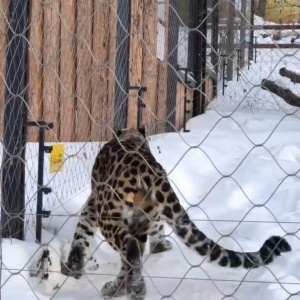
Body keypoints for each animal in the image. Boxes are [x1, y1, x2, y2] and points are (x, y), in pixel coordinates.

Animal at [62, 127, 290, 300]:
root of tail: (149, 169)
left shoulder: (94, 204)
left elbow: (82, 232)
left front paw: (73, 266)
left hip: (110, 215)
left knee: (131, 249)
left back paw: (127, 288)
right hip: (141, 218)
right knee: (132, 256)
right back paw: (133, 288)